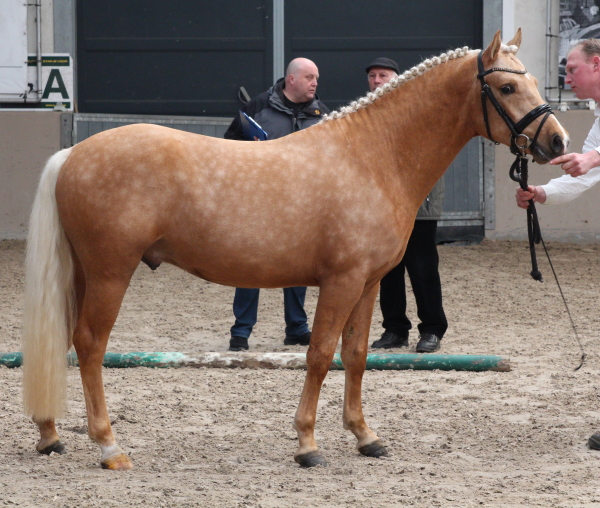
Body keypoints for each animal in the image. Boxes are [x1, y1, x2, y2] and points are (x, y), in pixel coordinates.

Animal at [22, 29, 568, 470]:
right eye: (507, 87)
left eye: (533, 81)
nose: (558, 142)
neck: (372, 156)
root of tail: (73, 153)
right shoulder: (341, 280)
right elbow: (320, 355)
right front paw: (307, 444)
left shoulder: (368, 283)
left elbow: (355, 356)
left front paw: (365, 437)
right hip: (110, 273)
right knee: (91, 345)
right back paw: (109, 447)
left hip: (83, 274)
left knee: (64, 340)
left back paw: (51, 435)